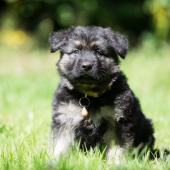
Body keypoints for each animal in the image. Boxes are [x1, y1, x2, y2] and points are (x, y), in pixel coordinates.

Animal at [48, 25, 155, 161]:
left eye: (99, 52)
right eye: (76, 51)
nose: (86, 66)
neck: (89, 96)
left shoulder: (117, 121)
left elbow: (116, 148)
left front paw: (115, 162)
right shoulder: (65, 119)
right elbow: (60, 144)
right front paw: (55, 160)